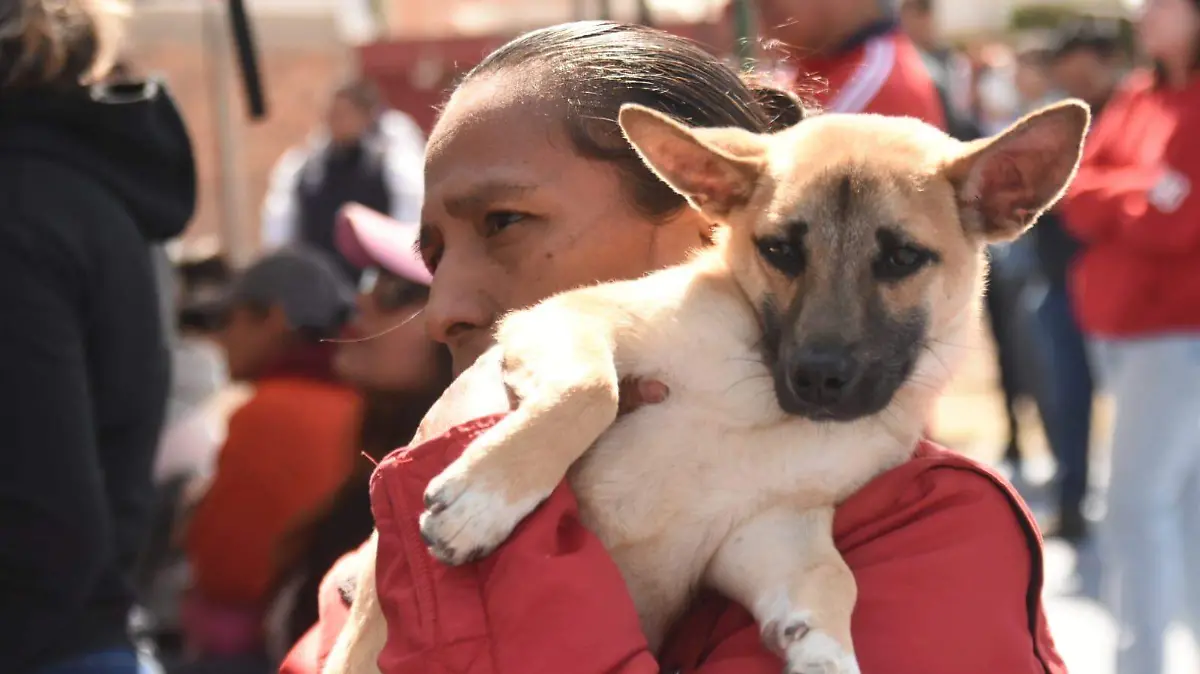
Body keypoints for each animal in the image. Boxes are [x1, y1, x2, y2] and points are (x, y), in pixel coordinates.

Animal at [321, 99, 1089, 671]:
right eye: (779, 251)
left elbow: (833, 580)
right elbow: (589, 392)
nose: (818, 378)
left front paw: (828, 654)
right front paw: (483, 500)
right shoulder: (563, 318)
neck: (760, 408)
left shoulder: (769, 530)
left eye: (902, 258)